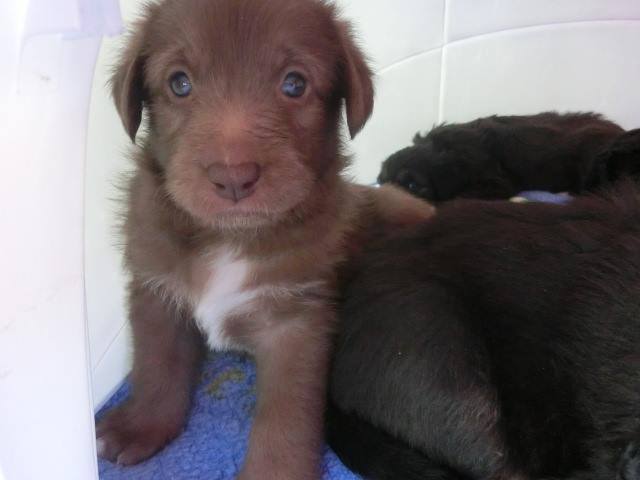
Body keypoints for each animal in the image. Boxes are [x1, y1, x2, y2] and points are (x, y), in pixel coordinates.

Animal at [95, 0, 433, 478]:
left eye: (294, 84)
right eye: (179, 83)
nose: (233, 176)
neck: (229, 238)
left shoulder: (297, 323)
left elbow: (285, 416)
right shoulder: (155, 290)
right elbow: (157, 366)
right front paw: (140, 425)